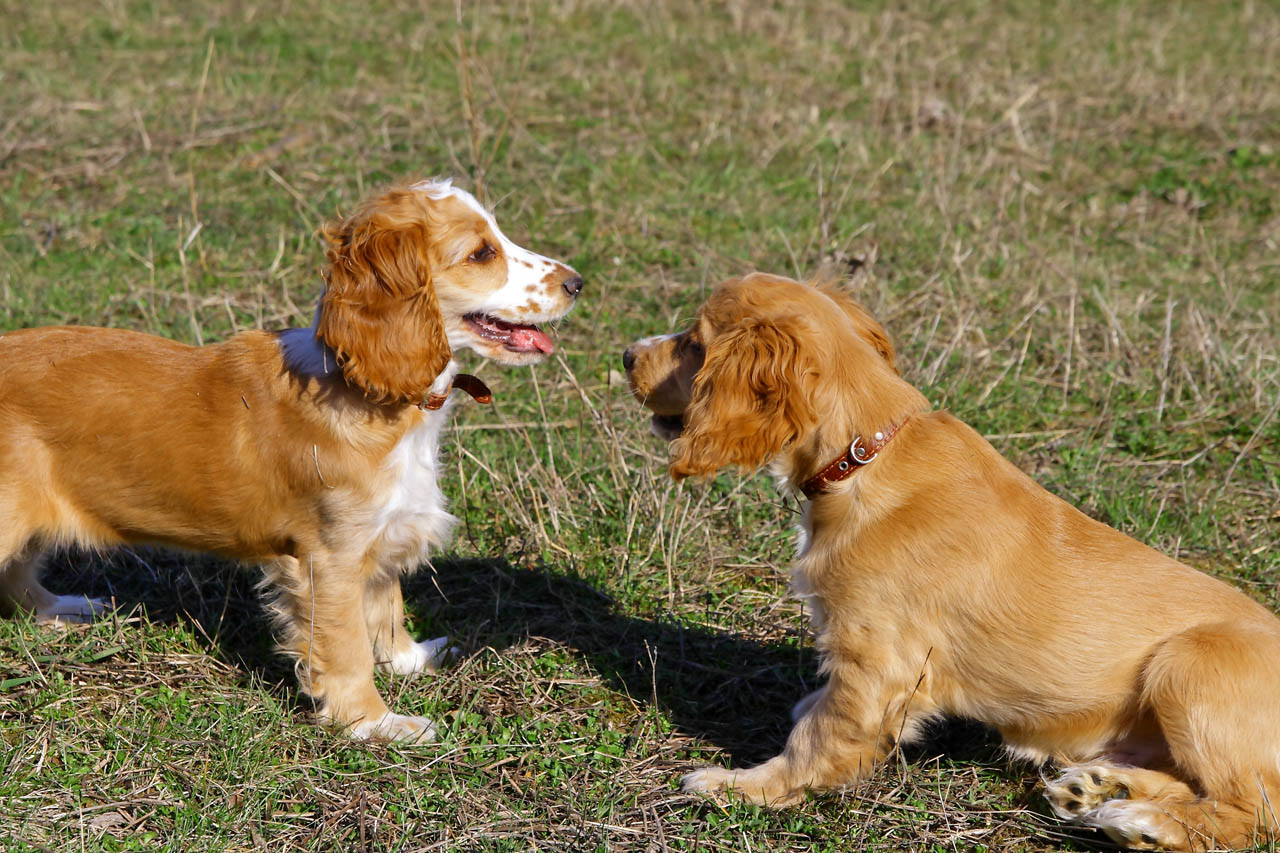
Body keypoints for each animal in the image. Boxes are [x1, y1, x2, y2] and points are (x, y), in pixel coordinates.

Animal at [0, 179, 586, 737]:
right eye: (482, 253)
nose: (577, 283)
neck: (366, 389)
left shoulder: (380, 533)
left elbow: (386, 604)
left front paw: (410, 658)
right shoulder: (329, 558)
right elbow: (347, 647)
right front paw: (374, 723)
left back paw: (63, 608)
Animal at [622, 274, 1280, 850]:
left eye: (695, 342)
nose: (627, 353)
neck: (864, 459)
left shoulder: (875, 661)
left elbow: (818, 737)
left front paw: (741, 786)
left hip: (1188, 665)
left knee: (1254, 810)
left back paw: (1143, 822)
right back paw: (1101, 787)